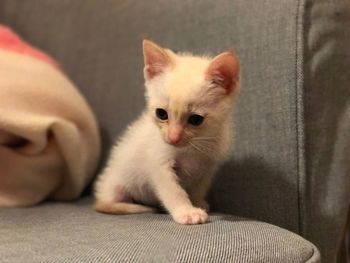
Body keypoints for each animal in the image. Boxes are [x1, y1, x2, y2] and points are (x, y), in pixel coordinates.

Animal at [94, 39, 239, 225]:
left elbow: (199, 187)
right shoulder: (158, 163)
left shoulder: (208, 166)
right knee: (106, 204)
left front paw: (197, 203)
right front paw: (186, 211)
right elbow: (173, 190)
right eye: (161, 113)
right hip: (115, 185)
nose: (173, 138)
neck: (192, 149)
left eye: (196, 119)